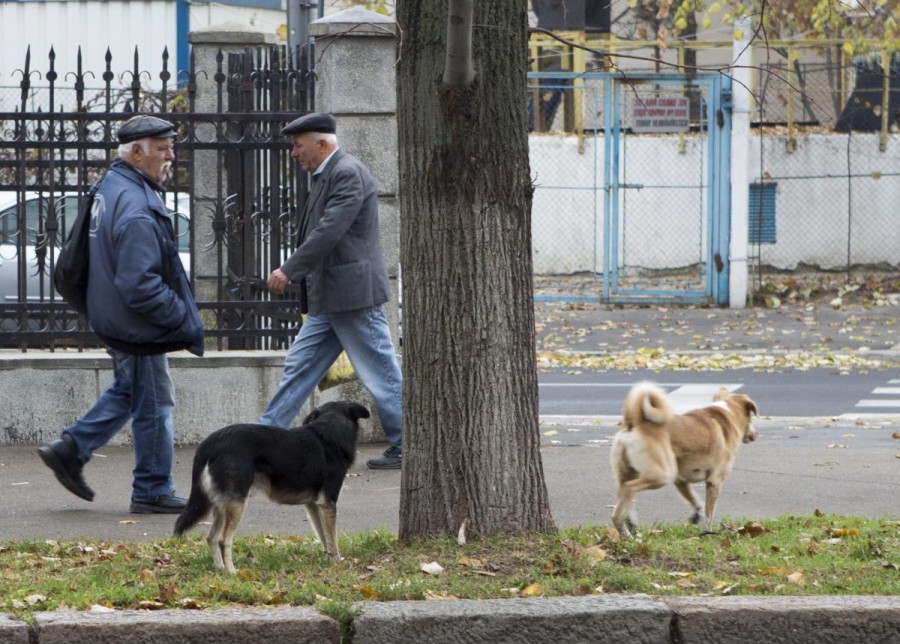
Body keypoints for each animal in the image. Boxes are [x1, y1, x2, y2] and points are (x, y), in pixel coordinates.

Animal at [172, 402, 370, 572]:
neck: (329, 431)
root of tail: (210, 442)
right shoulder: (328, 502)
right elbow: (332, 539)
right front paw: (337, 562)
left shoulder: (314, 505)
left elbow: (324, 536)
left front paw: (328, 558)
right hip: (236, 505)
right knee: (222, 539)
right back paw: (231, 571)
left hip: (222, 505)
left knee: (211, 537)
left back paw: (220, 568)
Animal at [608, 382, 756, 540]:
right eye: (751, 418)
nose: (756, 434)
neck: (728, 413)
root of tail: (634, 422)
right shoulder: (714, 482)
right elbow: (709, 514)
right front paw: (707, 532)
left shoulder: (680, 481)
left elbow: (695, 500)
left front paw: (697, 514)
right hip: (661, 475)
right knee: (629, 488)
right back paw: (632, 519)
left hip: (627, 474)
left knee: (617, 510)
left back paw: (628, 536)